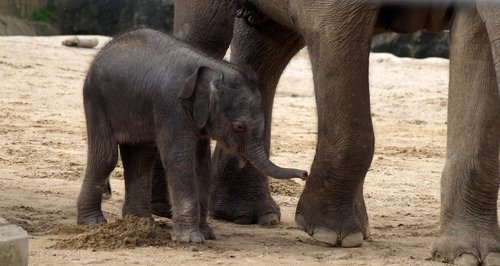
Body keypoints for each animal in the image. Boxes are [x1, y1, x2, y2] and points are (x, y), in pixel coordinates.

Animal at [76, 28, 306, 243]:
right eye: (239, 127)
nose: (304, 174)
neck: (211, 68)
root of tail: (106, 48)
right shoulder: (171, 106)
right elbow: (180, 160)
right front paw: (191, 240)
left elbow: (201, 165)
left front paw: (207, 234)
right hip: (96, 99)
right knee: (105, 157)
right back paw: (93, 223)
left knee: (140, 159)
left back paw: (141, 223)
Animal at [173, 1, 500, 264]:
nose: (302, 174)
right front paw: (332, 234)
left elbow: (476, 41)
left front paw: (472, 256)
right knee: (209, 32)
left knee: (269, 39)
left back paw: (247, 216)